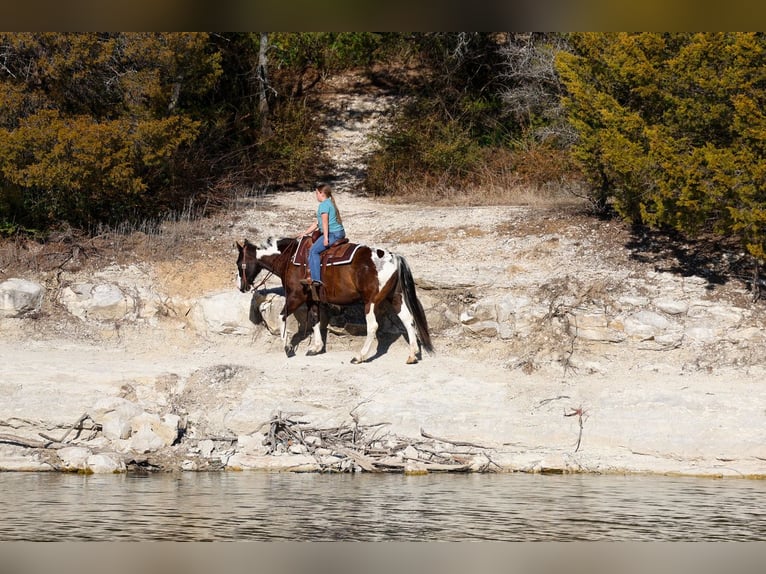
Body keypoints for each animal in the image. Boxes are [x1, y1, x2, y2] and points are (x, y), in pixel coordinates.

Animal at [236, 236, 434, 364]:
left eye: (239, 264)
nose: (241, 286)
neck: (290, 258)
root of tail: (393, 257)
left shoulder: (296, 296)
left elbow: (282, 316)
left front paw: (287, 347)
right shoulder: (312, 300)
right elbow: (315, 320)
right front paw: (316, 348)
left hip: (370, 302)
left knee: (373, 327)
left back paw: (359, 356)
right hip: (395, 297)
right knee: (408, 320)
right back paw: (413, 354)